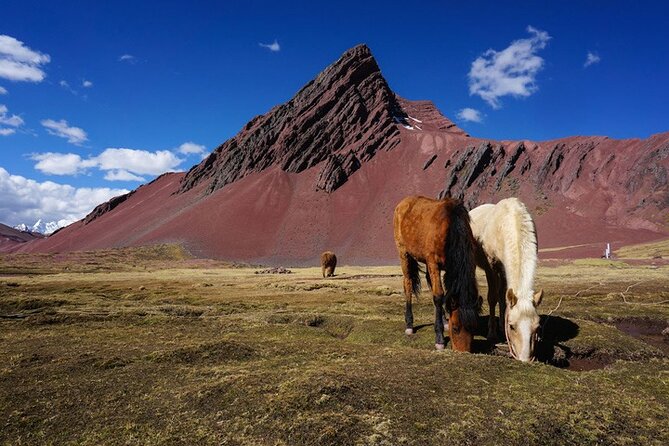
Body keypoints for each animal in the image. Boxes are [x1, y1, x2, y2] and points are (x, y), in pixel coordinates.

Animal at [392, 195, 480, 352]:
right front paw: (439, 339)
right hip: (403, 253)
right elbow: (438, 296)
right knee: (408, 283)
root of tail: (403, 202)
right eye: (456, 328)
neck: (451, 228)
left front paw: (444, 322)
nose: (463, 352)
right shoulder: (434, 263)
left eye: (475, 328)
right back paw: (409, 325)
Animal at [470, 199, 544, 362]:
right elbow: (492, 298)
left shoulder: (504, 269)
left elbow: (503, 297)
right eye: (512, 326)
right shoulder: (491, 266)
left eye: (537, 327)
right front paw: (492, 334)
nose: (525, 360)